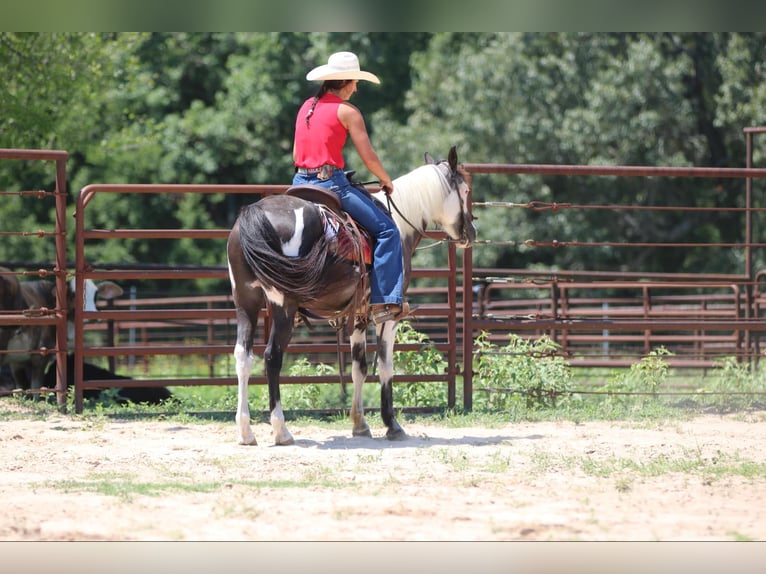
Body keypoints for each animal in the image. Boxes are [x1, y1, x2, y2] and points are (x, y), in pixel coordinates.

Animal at [227, 146, 476, 445]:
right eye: (465, 191)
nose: (471, 233)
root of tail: (255, 214)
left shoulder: (358, 313)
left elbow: (360, 368)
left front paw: (360, 424)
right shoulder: (388, 316)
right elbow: (385, 366)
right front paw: (392, 425)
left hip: (246, 301)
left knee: (243, 356)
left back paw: (245, 431)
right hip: (282, 304)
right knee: (272, 357)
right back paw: (281, 431)